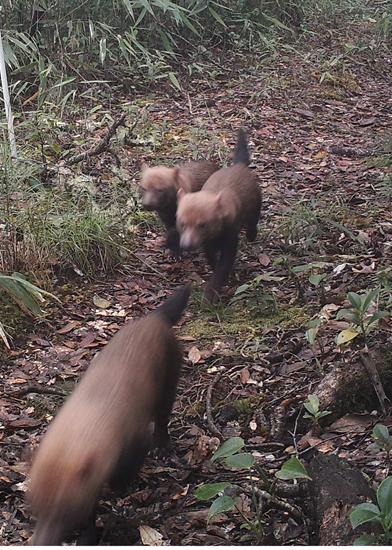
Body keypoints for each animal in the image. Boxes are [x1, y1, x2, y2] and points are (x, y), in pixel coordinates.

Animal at [27, 288, 190, 548]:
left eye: (65, 514)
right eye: (35, 509)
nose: (41, 542)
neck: (87, 419)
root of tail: (154, 318)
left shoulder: (136, 437)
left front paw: (120, 487)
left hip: (170, 377)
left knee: (163, 416)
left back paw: (161, 446)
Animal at [176, 129, 262, 304]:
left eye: (202, 224)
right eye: (182, 223)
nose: (187, 244)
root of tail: (238, 165)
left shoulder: (231, 239)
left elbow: (223, 267)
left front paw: (211, 294)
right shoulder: (206, 244)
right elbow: (211, 259)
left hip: (256, 200)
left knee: (254, 219)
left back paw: (251, 234)